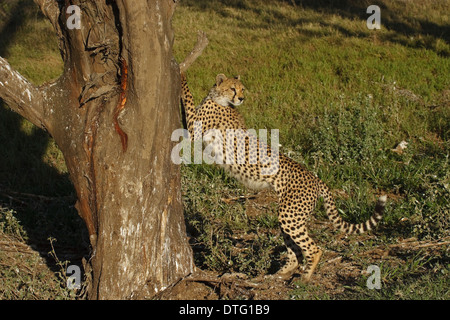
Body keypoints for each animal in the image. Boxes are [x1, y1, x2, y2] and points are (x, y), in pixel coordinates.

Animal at [179, 72, 386, 280]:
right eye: (233, 88)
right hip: (290, 216)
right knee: (295, 252)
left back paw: (304, 278)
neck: (220, 99)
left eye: (242, 88)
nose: (242, 98)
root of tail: (315, 177)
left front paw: (181, 75)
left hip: (290, 214)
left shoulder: (194, 129)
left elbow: (188, 98)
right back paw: (280, 274)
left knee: (314, 248)